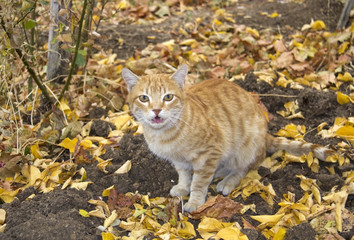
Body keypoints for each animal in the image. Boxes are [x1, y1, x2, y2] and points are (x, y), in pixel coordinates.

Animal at [122, 64, 334, 213]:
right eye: (144, 98)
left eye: (168, 97)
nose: (157, 110)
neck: (165, 135)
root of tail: (266, 133)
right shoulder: (180, 161)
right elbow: (184, 174)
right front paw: (183, 187)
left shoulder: (210, 151)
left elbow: (199, 182)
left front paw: (195, 201)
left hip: (245, 148)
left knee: (242, 169)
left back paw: (227, 180)